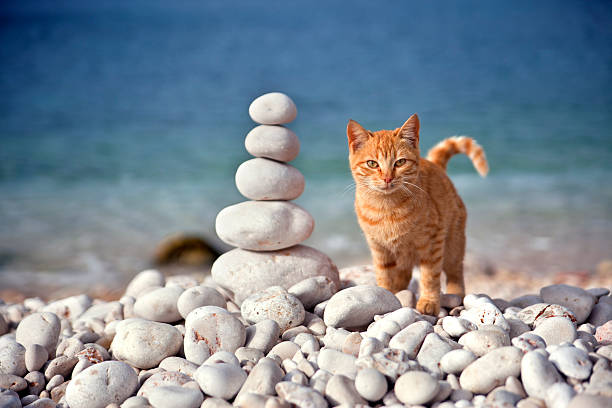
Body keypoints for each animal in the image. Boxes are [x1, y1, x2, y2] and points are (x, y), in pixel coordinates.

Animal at [350, 115, 488, 316]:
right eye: (372, 164)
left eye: (400, 162)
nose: (387, 178)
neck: (387, 208)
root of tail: (435, 165)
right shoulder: (379, 248)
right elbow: (384, 275)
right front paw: (386, 295)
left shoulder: (433, 242)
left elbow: (430, 276)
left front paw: (428, 301)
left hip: (453, 245)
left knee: (455, 271)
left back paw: (455, 294)